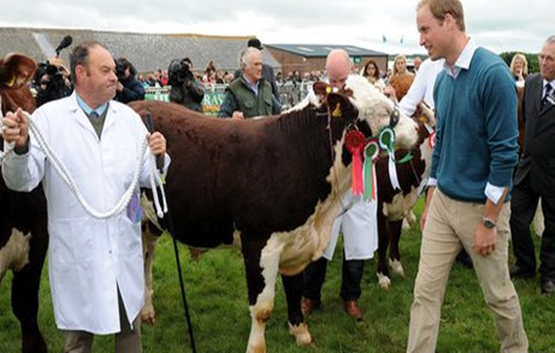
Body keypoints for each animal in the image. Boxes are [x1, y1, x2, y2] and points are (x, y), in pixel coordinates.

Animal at [130, 75, 416, 352]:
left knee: (147, 254)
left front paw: (301, 333)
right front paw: (256, 347)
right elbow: (262, 308)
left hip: (152, 220)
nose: (415, 129)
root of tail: (136, 104)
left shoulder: (295, 239)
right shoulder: (259, 242)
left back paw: (146, 307)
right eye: (386, 110)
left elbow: (294, 288)